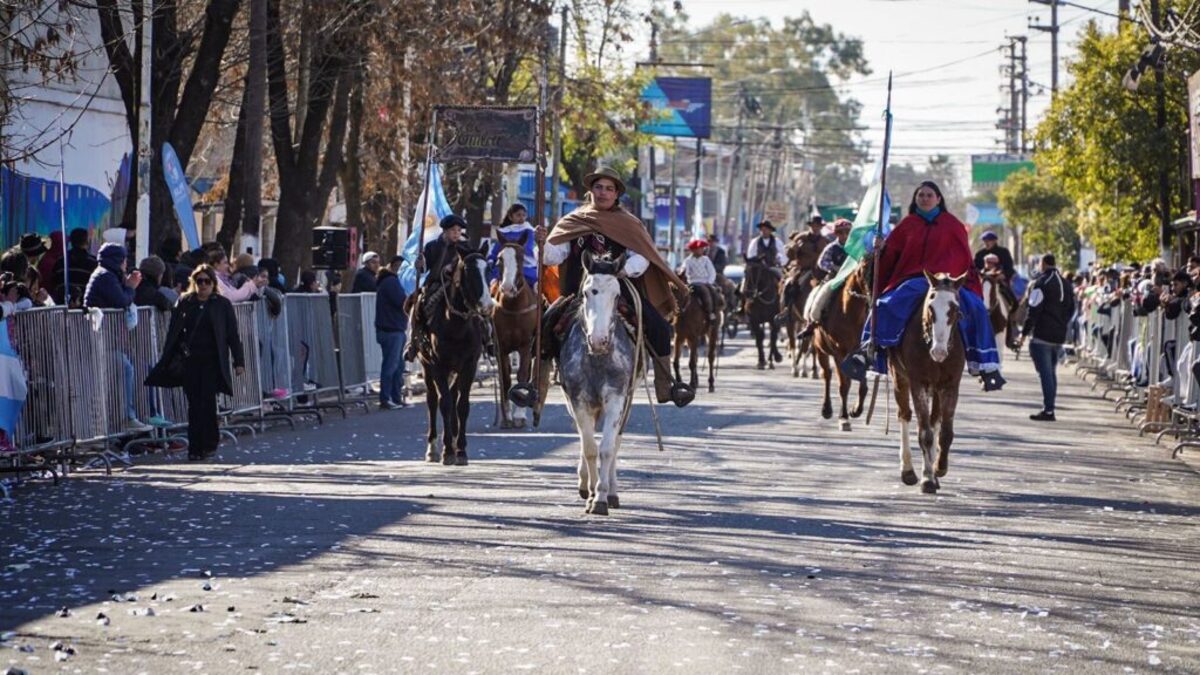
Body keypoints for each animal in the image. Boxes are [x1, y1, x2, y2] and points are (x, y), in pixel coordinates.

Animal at [811, 260, 868, 427]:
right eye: (863, 269)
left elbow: (862, 384)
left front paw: (856, 409)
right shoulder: (839, 353)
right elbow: (844, 384)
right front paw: (843, 417)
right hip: (820, 350)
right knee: (827, 374)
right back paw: (827, 409)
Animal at [888, 269, 969, 494]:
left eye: (955, 309)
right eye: (930, 307)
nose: (938, 352)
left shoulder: (950, 385)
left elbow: (945, 432)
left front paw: (939, 468)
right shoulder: (919, 384)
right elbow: (925, 433)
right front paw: (927, 478)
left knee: (935, 421)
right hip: (899, 378)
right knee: (904, 415)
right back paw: (908, 470)